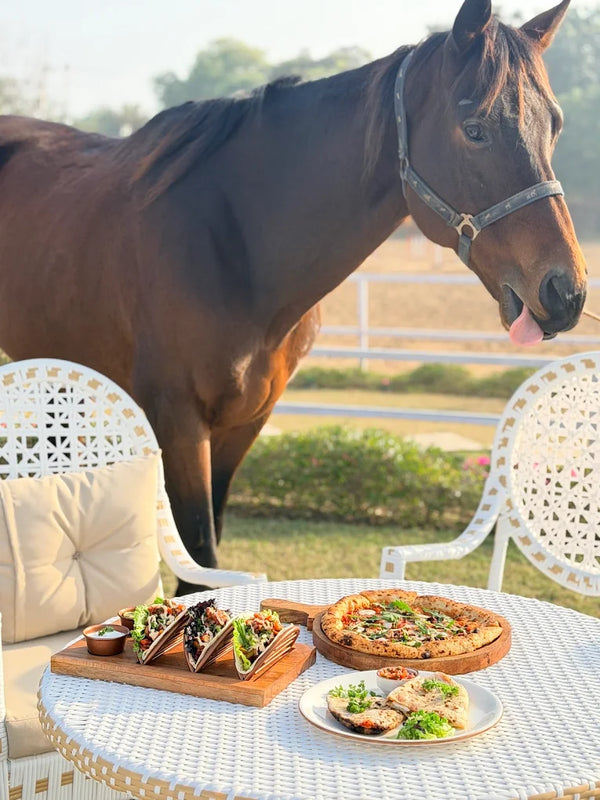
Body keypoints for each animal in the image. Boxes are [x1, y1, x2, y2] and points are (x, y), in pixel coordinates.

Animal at [0, 0, 586, 592]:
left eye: (556, 125)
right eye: (474, 129)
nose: (567, 290)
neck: (235, 244)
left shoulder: (246, 421)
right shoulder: (179, 421)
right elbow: (200, 557)